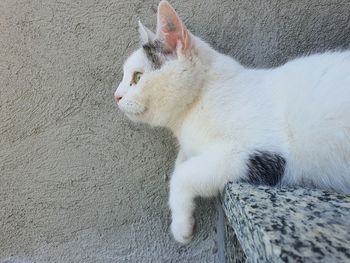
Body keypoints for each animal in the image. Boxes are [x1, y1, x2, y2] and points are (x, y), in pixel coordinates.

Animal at [114, 0, 350, 244]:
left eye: (137, 77)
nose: (116, 96)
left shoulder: (254, 154)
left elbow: (181, 175)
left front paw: (181, 226)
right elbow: (181, 161)